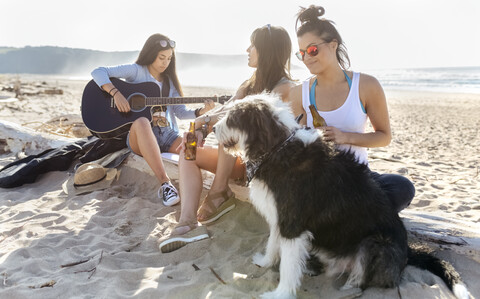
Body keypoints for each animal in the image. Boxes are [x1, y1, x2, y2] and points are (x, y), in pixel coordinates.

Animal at [214, 95, 468, 299]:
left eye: (233, 117)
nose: (213, 129)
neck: (277, 148)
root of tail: (407, 253)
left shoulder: (292, 224)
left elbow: (287, 266)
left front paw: (281, 294)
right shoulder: (280, 217)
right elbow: (273, 244)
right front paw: (265, 262)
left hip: (375, 243)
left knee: (370, 281)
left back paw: (349, 288)